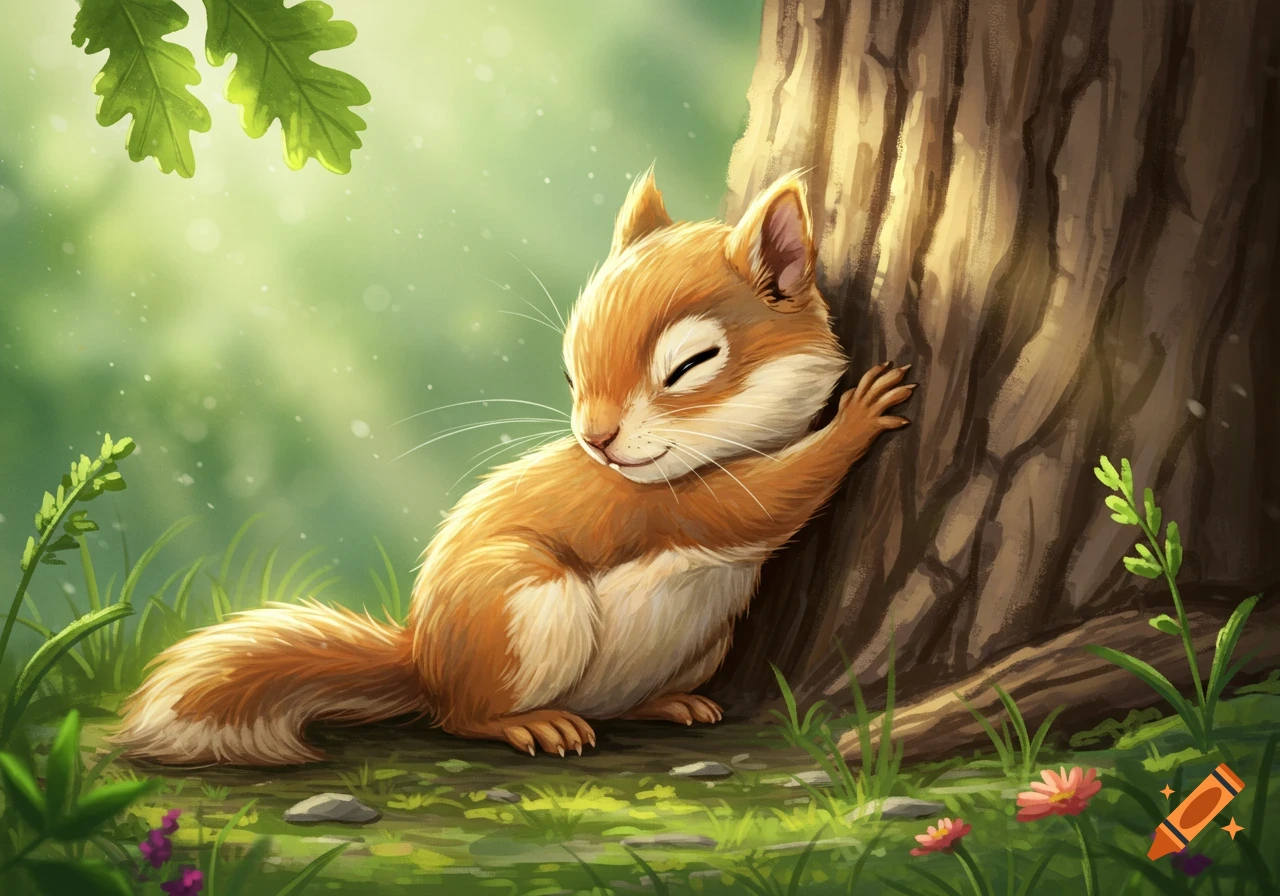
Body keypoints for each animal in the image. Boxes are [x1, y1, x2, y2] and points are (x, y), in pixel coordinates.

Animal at [113, 168, 916, 766]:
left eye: (691, 365)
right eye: (569, 370)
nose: (596, 440)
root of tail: (423, 660)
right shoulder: (662, 501)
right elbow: (767, 501)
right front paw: (858, 417)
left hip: (699, 643)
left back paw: (667, 702)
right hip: (520, 605)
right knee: (458, 716)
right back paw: (529, 724)